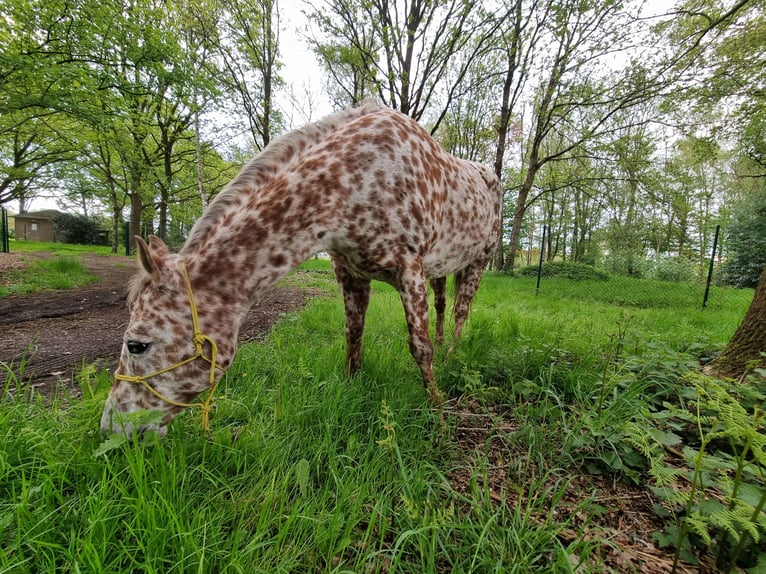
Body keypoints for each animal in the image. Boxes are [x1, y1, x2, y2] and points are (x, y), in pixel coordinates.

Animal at [100, 103, 504, 436]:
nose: (109, 428)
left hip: (476, 263)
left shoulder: (410, 270)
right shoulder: (351, 273)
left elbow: (419, 348)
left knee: (461, 312)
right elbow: (353, 335)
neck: (352, 181)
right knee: (442, 306)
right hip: (441, 269)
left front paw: (438, 414)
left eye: (137, 345)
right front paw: (352, 388)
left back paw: (452, 356)